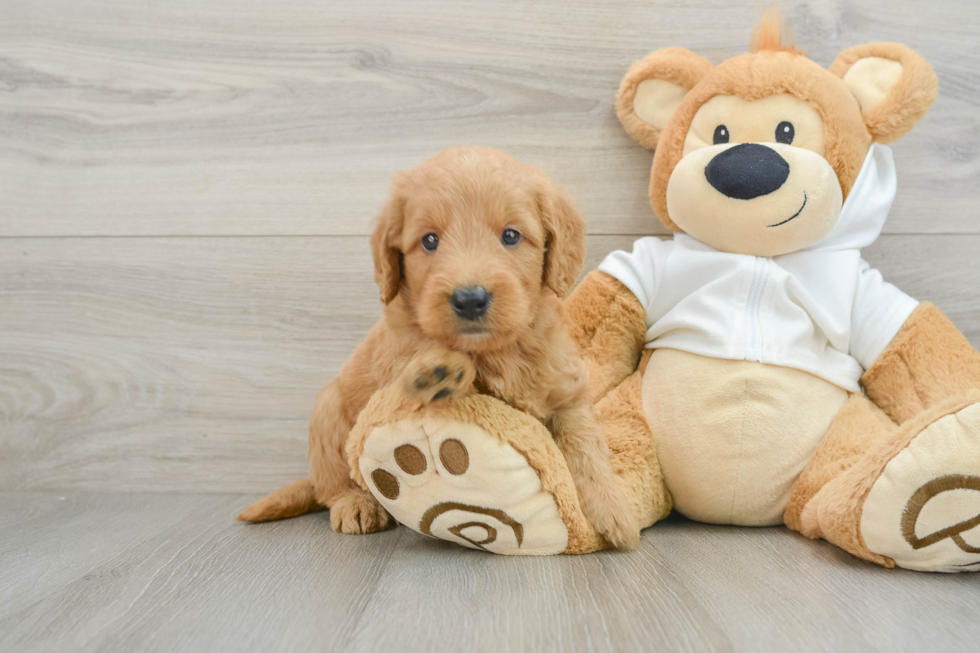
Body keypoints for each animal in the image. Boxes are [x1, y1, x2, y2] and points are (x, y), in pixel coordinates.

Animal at [240, 148, 640, 552]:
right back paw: (356, 503)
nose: (470, 299)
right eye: (430, 241)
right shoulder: (400, 360)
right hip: (326, 411)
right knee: (334, 482)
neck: (495, 351)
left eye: (511, 236)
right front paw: (440, 370)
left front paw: (614, 511)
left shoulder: (565, 388)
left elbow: (586, 446)